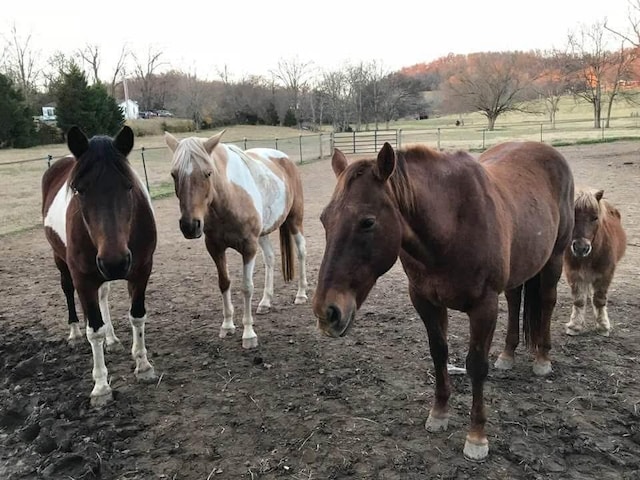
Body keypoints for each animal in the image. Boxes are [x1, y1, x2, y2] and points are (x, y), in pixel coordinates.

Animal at [42, 125, 158, 406]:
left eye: (129, 186)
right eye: (79, 190)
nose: (114, 262)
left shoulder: (141, 271)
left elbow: (137, 316)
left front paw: (143, 365)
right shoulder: (84, 278)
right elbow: (93, 330)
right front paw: (101, 387)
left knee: (103, 296)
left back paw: (112, 339)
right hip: (61, 261)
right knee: (68, 291)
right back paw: (75, 332)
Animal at [162, 131, 308, 348]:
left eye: (208, 173)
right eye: (174, 174)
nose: (190, 226)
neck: (229, 198)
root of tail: (285, 159)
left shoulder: (248, 247)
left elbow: (246, 288)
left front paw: (248, 334)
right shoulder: (215, 248)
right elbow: (224, 283)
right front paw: (227, 325)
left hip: (294, 221)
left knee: (301, 252)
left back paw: (301, 294)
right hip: (263, 234)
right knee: (270, 259)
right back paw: (265, 302)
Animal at [314, 142, 576, 462]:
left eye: (367, 222)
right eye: (324, 219)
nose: (327, 312)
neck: (451, 226)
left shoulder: (484, 307)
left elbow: (476, 365)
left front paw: (476, 437)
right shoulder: (425, 301)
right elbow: (439, 354)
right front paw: (439, 414)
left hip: (554, 259)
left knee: (547, 303)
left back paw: (542, 359)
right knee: (515, 301)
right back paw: (507, 354)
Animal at [564, 189, 628, 336]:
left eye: (595, 217)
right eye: (572, 216)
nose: (581, 248)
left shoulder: (605, 273)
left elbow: (599, 299)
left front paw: (603, 326)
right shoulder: (572, 272)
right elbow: (579, 300)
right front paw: (574, 326)